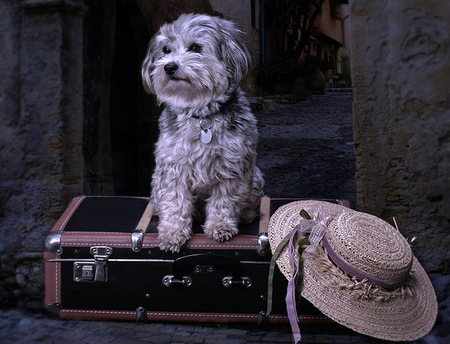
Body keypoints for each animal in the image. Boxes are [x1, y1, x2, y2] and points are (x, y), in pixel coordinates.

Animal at [142, 13, 264, 251]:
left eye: (195, 47)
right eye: (166, 50)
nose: (169, 67)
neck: (201, 116)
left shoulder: (231, 166)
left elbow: (224, 201)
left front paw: (220, 226)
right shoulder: (173, 166)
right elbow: (175, 202)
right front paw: (172, 233)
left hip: (255, 177)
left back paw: (245, 214)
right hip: (156, 182)